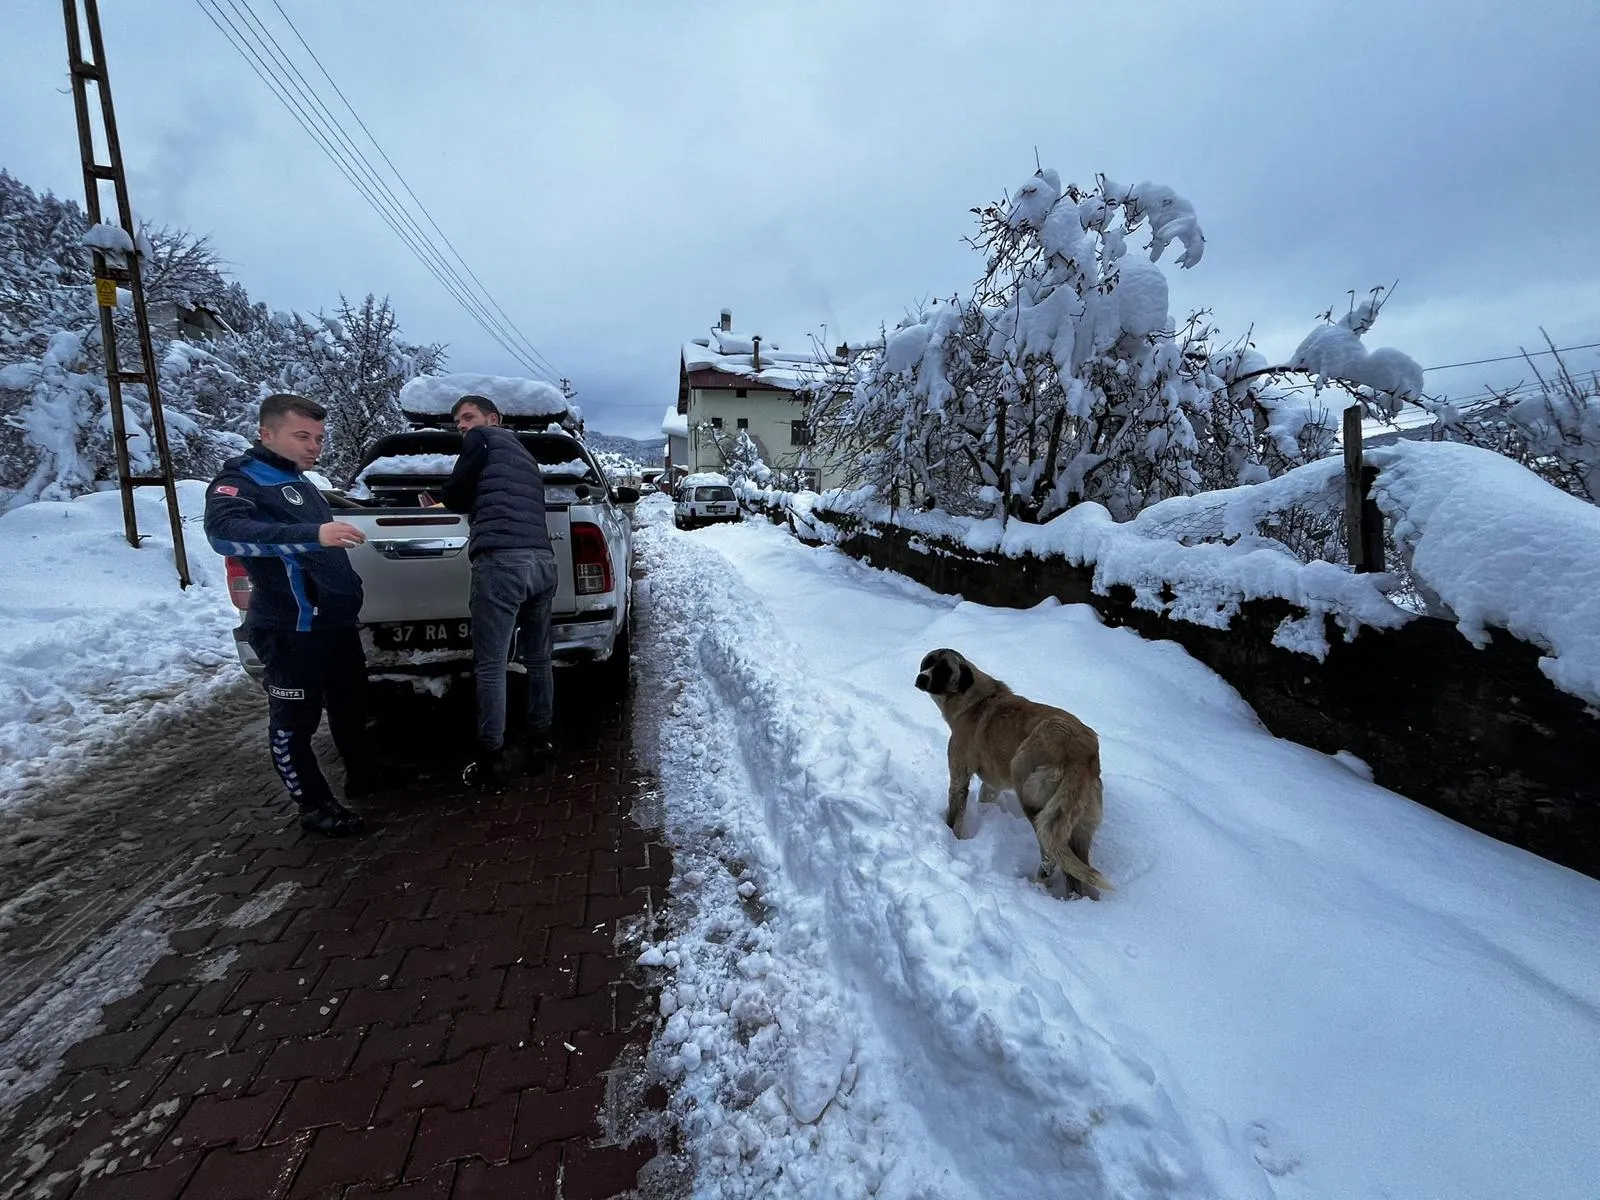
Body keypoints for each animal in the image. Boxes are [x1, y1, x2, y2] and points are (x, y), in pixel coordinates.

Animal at [915, 652, 1113, 896]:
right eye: (927, 663)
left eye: (943, 670)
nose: (921, 678)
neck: (975, 700)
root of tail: (1082, 755)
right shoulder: (992, 785)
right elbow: (986, 798)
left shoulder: (959, 776)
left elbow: (954, 817)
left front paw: (951, 838)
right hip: (1077, 825)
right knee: (1075, 872)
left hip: (1029, 791)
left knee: (1049, 855)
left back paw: (1039, 883)